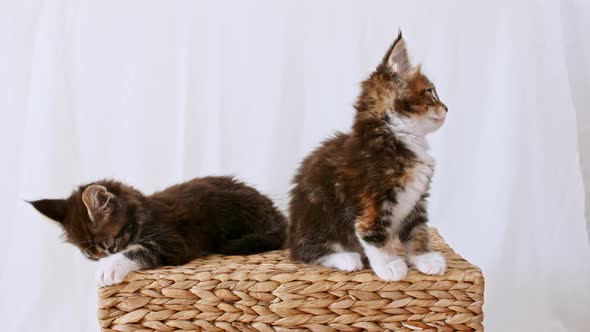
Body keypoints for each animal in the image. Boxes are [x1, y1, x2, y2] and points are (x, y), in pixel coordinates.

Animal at [30, 176, 290, 286]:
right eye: (91, 256)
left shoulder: (175, 240)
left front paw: (110, 268)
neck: (142, 211)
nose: (105, 257)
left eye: (110, 246)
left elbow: (140, 248)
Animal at [288, 33, 448, 282]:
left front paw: (424, 257)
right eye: (431, 92)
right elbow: (372, 233)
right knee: (306, 252)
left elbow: (417, 229)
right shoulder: (372, 199)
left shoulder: (416, 200)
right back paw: (346, 258)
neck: (397, 138)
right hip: (317, 216)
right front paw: (390, 264)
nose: (447, 108)